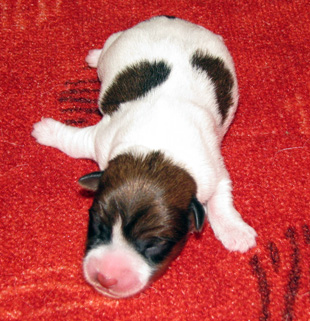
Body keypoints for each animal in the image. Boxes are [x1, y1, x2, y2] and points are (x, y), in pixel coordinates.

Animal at [32, 16, 258, 298]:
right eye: (98, 226)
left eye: (153, 244)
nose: (105, 278)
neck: (156, 154)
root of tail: (174, 20)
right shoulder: (101, 136)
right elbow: (73, 141)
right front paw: (45, 130)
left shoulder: (213, 171)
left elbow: (221, 200)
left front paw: (236, 232)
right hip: (119, 42)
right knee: (108, 45)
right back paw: (94, 56)